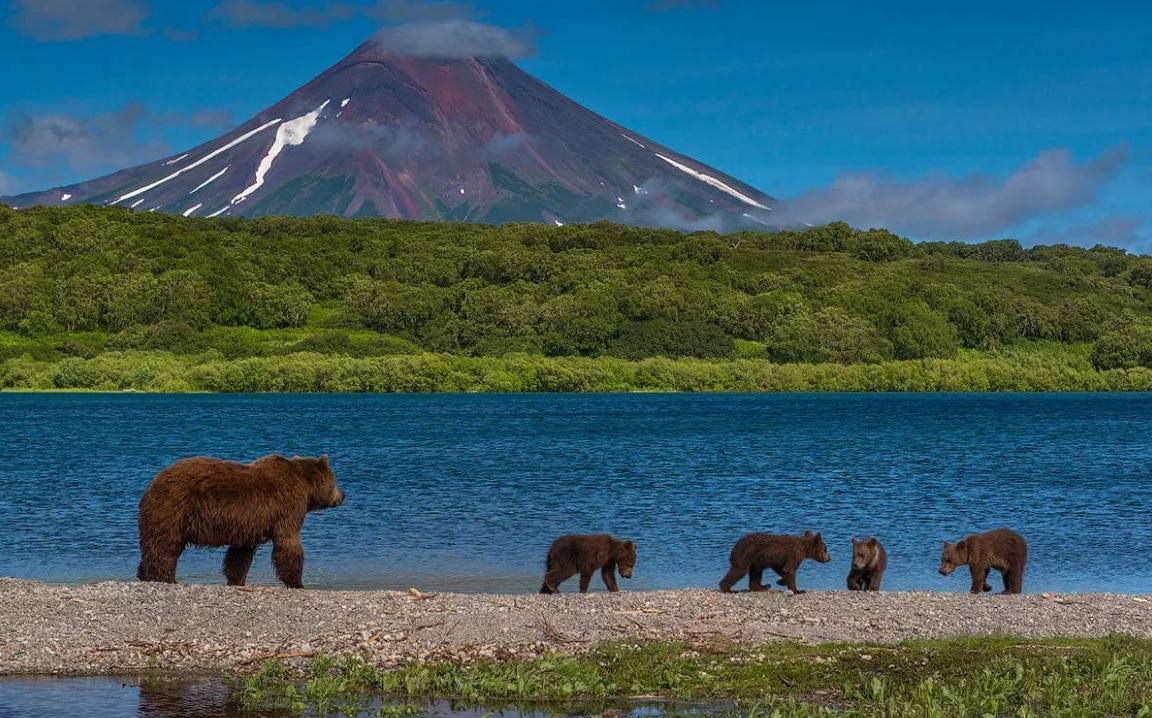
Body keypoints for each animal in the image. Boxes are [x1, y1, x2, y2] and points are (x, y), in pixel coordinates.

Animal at [135, 454, 340, 590]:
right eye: (336, 480)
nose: (342, 495)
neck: (306, 485)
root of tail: (153, 482)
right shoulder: (288, 508)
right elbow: (288, 544)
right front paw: (297, 582)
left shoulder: (248, 525)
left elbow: (240, 555)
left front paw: (236, 580)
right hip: (173, 509)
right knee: (164, 546)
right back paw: (165, 578)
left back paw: (144, 574)